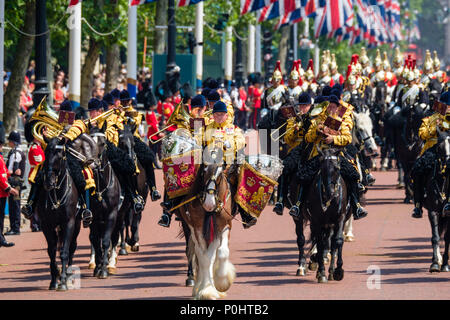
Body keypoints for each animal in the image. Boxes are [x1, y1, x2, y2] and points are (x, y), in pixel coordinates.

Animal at [36, 137, 81, 290]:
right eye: (46, 153)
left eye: (60, 155)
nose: (48, 182)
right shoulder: (46, 225)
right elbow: (51, 251)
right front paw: (54, 280)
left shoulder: (69, 222)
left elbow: (64, 252)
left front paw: (62, 281)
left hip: (76, 225)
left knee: (72, 246)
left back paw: (69, 274)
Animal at [302, 148, 352, 282]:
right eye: (322, 168)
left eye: (337, 168)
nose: (330, 193)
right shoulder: (317, 220)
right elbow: (320, 243)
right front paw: (321, 272)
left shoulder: (340, 218)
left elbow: (337, 240)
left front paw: (338, 270)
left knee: (331, 242)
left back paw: (331, 270)